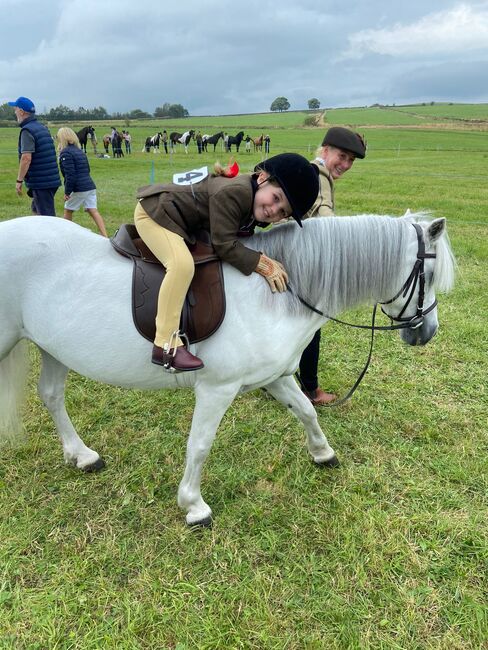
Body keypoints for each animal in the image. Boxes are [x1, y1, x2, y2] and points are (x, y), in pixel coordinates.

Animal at [0, 214, 454, 528]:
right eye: (429, 275)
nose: (427, 332)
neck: (278, 290)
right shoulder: (217, 388)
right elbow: (200, 445)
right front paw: (193, 506)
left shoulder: (276, 376)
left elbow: (306, 411)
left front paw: (322, 453)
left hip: (54, 346)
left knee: (51, 395)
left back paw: (82, 455)